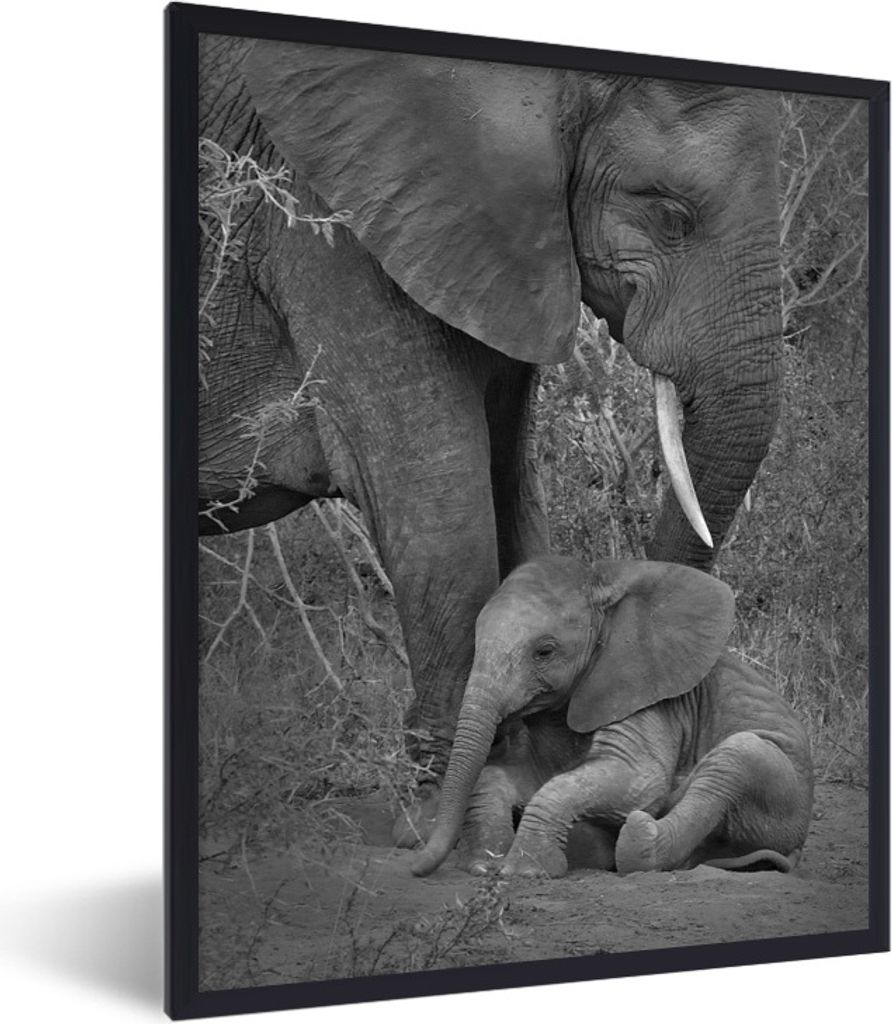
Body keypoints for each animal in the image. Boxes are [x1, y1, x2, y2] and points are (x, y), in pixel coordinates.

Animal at [411, 555, 813, 877]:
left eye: (544, 651)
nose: (416, 868)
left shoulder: (647, 695)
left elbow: (637, 780)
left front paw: (527, 871)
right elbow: (512, 776)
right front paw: (485, 864)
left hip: (784, 797)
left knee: (734, 759)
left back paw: (640, 838)